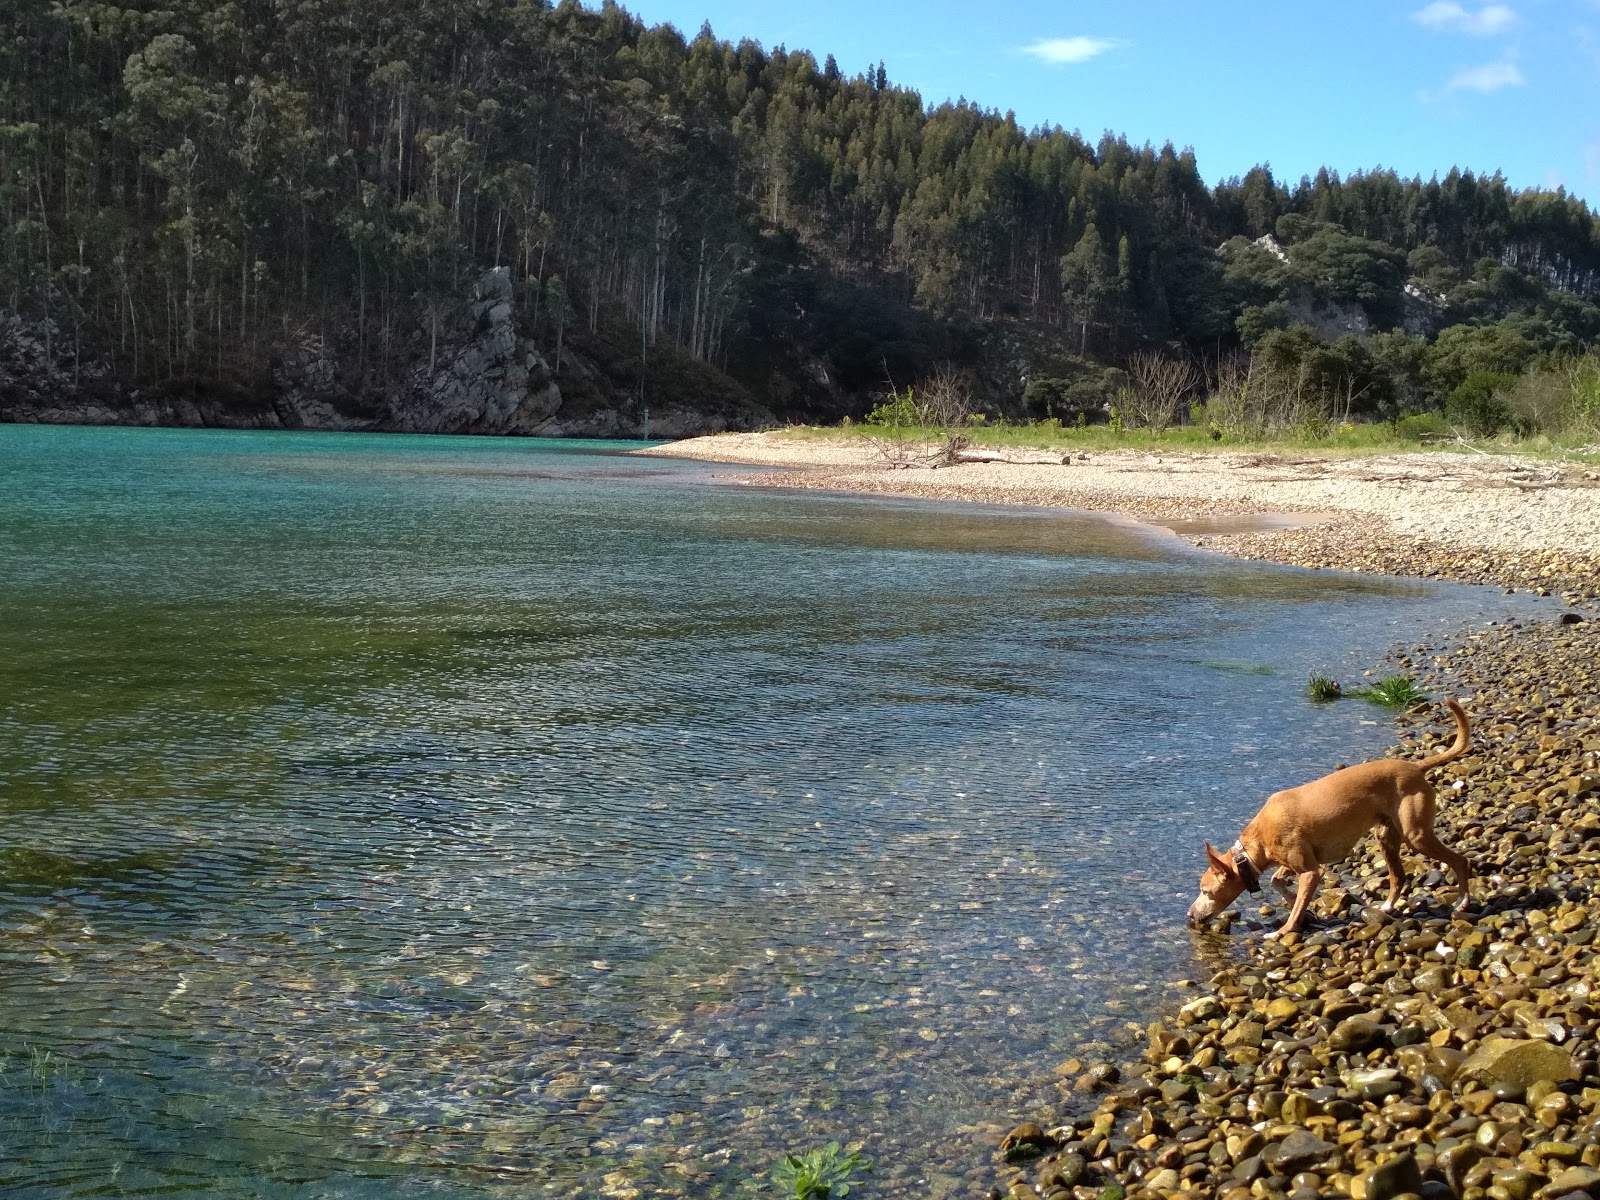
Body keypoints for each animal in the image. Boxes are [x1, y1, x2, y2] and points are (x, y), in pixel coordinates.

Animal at [1190, 694, 1472, 940]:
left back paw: (1461, 902)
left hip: (1416, 835)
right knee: (1398, 877)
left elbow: (1294, 904)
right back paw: (1387, 907)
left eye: (1206, 891)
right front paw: (1297, 904)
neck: (1255, 844)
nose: (1190, 915)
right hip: (1386, 835)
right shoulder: (1297, 861)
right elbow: (1276, 880)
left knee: (1460, 861)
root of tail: (1415, 766)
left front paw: (1283, 931)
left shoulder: (1310, 870)